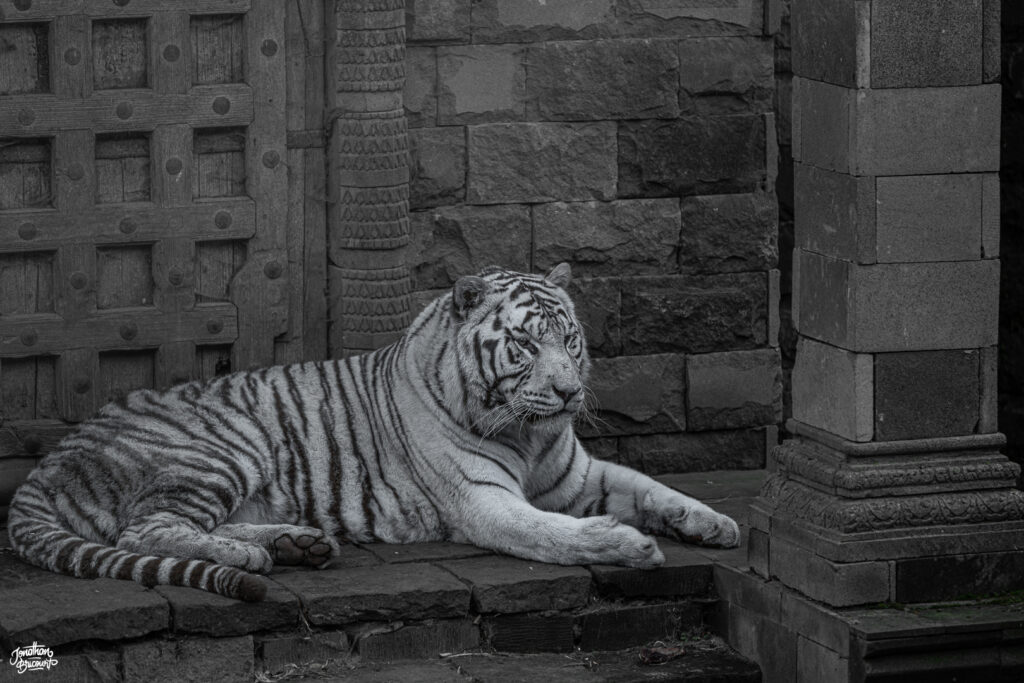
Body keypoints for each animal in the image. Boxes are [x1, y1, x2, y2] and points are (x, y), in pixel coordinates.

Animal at [8, 263, 740, 601]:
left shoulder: (582, 475)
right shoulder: (485, 501)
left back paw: (298, 544)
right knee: (146, 530)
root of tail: (50, 459)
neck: (530, 434)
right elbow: (552, 533)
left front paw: (716, 523)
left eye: (570, 340)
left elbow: (655, 487)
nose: (567, 392)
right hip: (218, 450)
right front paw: (624, 545)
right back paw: (250, 560)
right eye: (526, 345)